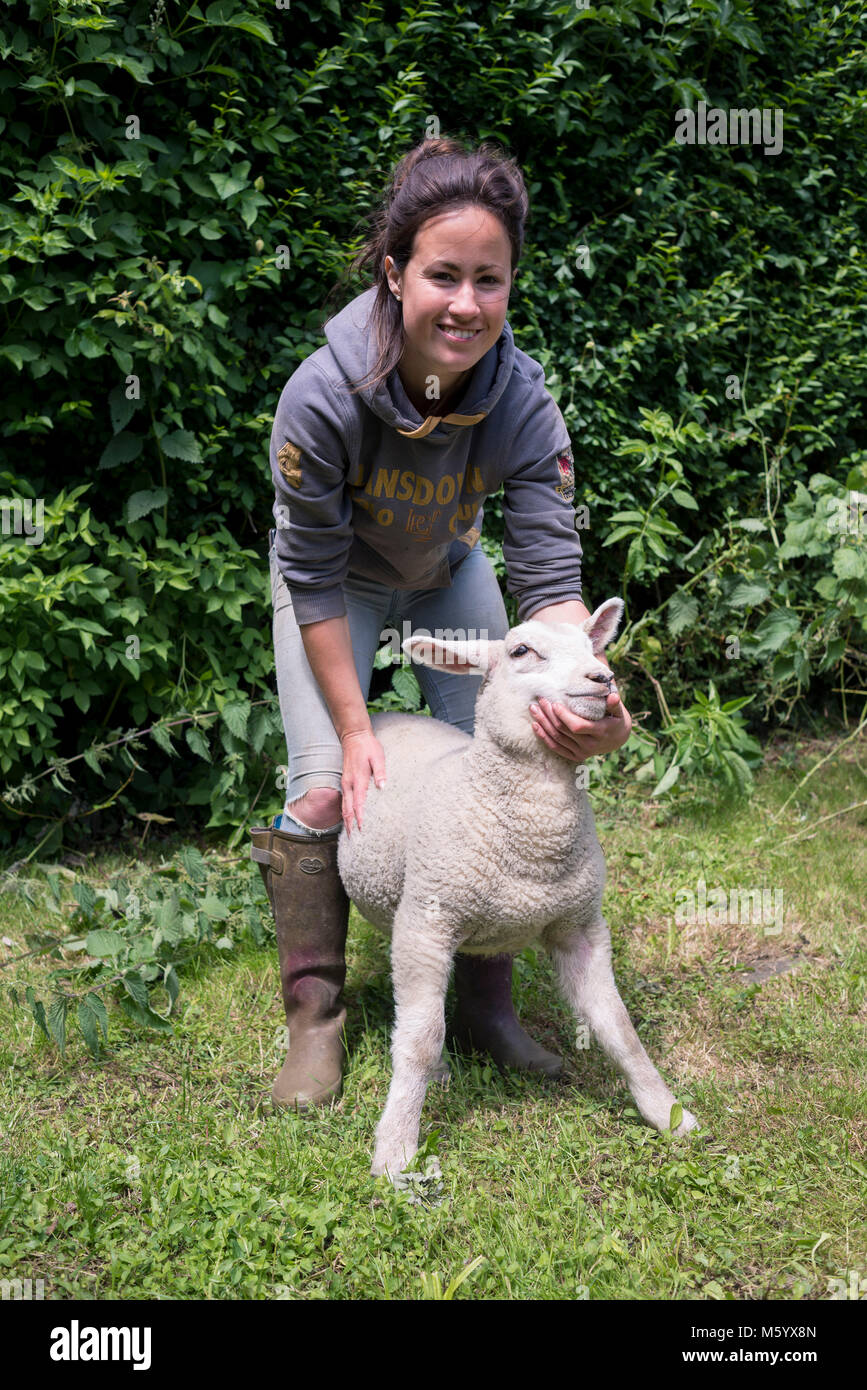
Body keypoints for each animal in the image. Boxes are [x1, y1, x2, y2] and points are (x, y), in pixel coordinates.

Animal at [334, 600, 700, 1184]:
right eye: (522, 651)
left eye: (592, 647)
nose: (602, 680)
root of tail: (382, 716)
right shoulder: (426, 923)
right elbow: (418, 1039)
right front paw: (396, 1149)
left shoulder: (580, 926)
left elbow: (618, 1026)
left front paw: (666, 1113)